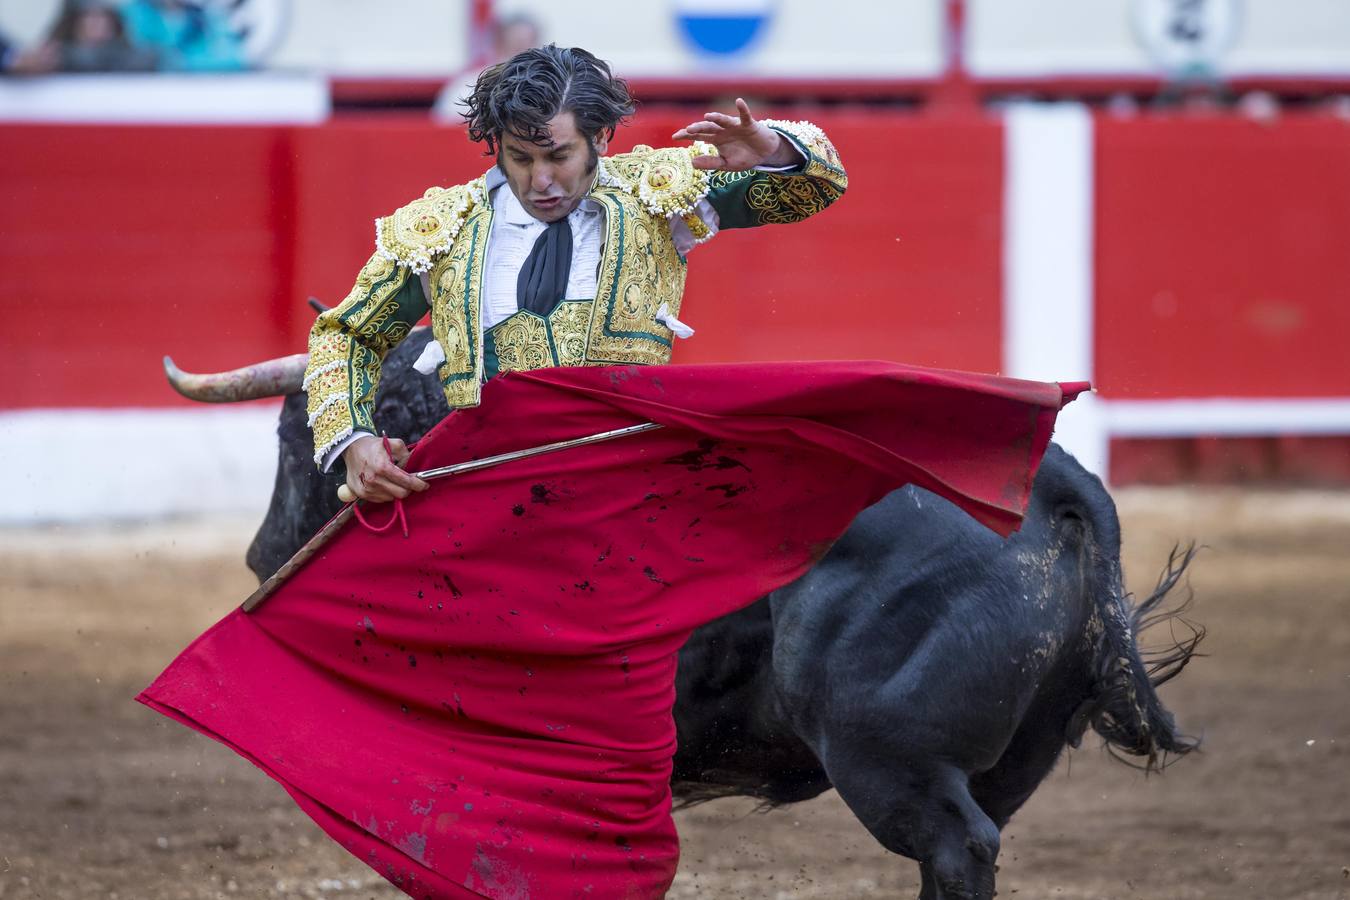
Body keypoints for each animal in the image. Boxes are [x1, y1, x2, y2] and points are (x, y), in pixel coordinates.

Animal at [245, 333, 1204, 900]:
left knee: (957, 847)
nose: (261, 557)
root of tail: (1055, 484)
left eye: (294, 439)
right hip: (1009, 758)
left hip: (890, 757)